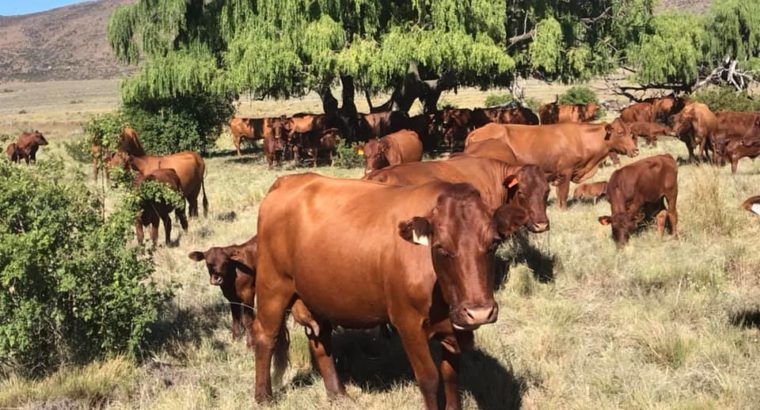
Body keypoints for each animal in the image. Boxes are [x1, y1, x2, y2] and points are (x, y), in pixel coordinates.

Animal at [253, 174, 529, 408]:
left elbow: (451, 376)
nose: (479, 312)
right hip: (272, 284)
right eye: (440, 248)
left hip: (319, 293)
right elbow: (429, 378)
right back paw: (264, 397)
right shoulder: (408, 322)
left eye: (494, 243)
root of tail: (288, 181)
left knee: (320, 339)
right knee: (266, 336)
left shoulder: (454, 327)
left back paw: (338, 395)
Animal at [464, 119, 638, 209]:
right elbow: (564, 193)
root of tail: (478, 131)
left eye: (631, 133)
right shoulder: (566, 171)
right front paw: (564, 210)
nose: (635, 150)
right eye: (620, 133)